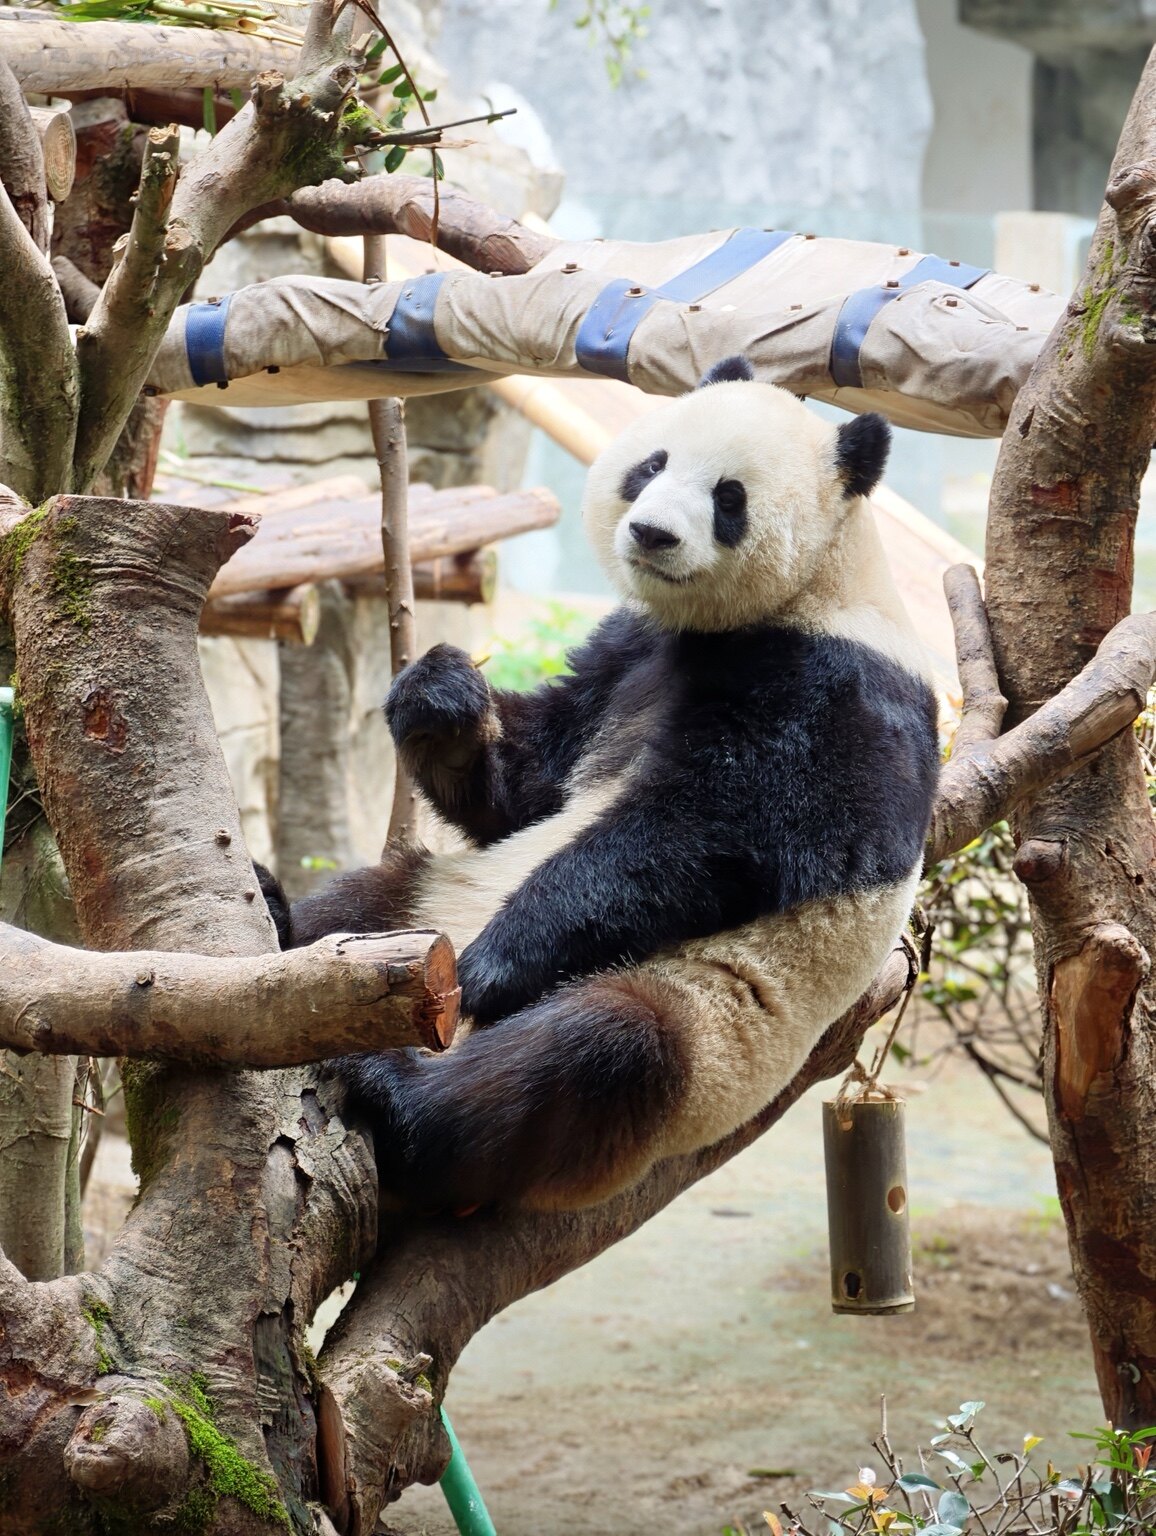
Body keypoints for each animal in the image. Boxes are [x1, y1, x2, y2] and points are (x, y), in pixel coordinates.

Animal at [261, 357, 939, 1213]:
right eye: (651, 464)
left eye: (729, 497)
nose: (651, 533)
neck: (816, 587)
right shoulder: (630, 649)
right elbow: (531, 787)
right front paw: (441, 700)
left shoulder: (836, 690)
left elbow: (706, 834)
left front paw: (496, 964)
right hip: (423, 920)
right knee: (362, 913)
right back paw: (281, 918)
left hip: (697, 1030)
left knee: (595, 1054)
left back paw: (397, 1090)